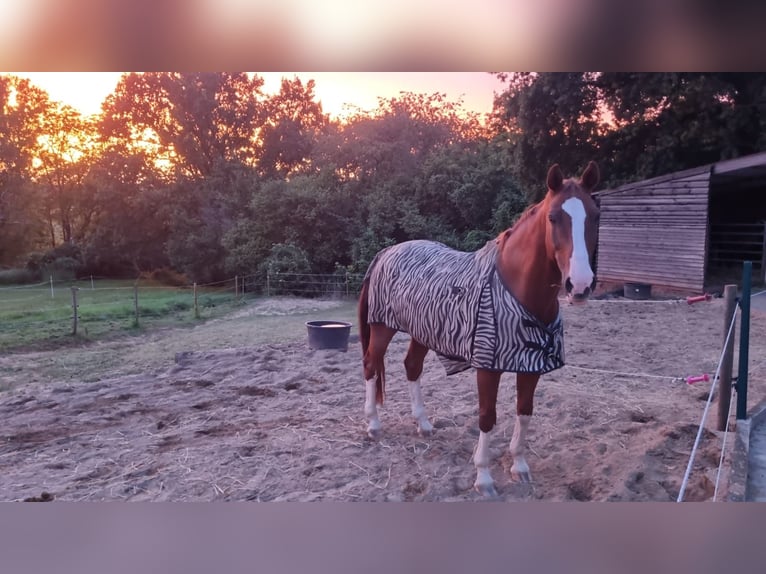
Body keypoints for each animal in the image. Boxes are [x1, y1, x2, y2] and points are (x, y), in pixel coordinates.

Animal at [356, 162, 604, 500]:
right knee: (371, 365)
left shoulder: (531, 365)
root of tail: (389, 251)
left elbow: (524, 411)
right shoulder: (488, 365)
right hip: (382, 328)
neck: (517, 289)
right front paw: (484, 479)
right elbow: (487, 417)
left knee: (412, 367)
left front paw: (519, 467)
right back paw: (373, 425)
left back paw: (423, 424)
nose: (579, 285)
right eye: (553, 217)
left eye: (595, 215)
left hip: (422, 331)